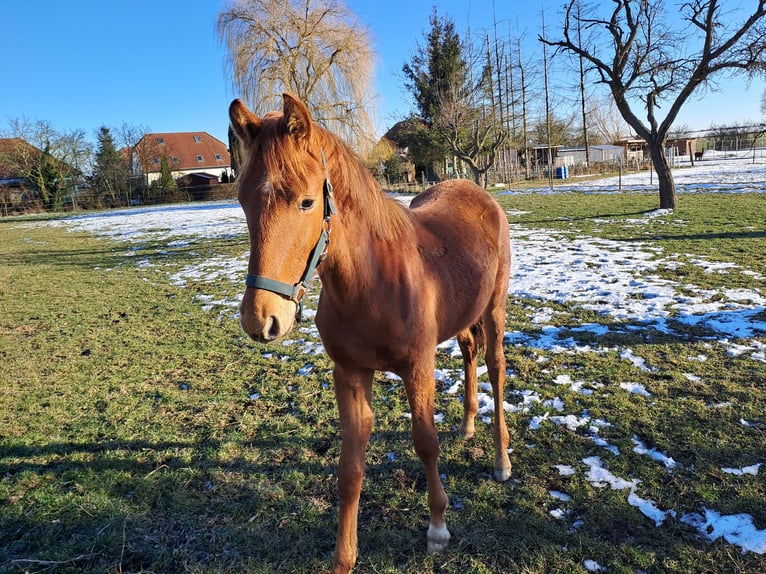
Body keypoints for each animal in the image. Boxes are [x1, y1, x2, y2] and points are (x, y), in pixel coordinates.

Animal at [231, 92, 512, 572]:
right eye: (243, 200)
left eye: (306, 202)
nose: (261, 319)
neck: (372, 280)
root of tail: (477, 193)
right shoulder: (349, 374)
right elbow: (349, 468)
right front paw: (343, 558)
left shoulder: (418, 368)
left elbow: (425, 443)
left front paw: (438, 528)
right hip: (464, 319)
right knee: (470, 353)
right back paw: (468, 425)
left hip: (494, 308)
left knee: (494, 366)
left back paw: (500, 460)